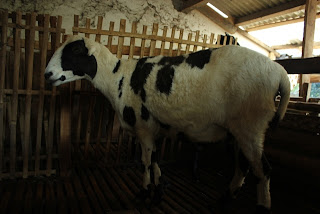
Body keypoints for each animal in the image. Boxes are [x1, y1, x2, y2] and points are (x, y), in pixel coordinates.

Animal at [45, 35, 292, 212]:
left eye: (76, 50)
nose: (47, 74)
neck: (117, 78)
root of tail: (280, 73)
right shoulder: (154, 129)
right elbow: (155, 161)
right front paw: (158, 194)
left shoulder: (143, 128)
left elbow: (145, 163)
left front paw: (144, 193)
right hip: (239, 131)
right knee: (243, 166)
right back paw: (224, 200)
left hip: (251, 125)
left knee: (263, 170)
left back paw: (261, 207)